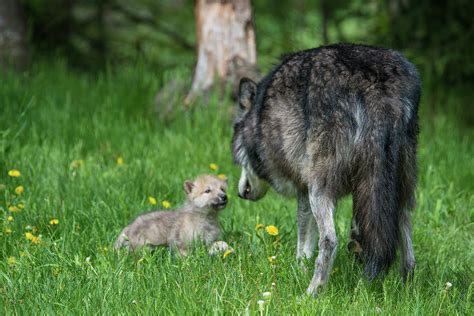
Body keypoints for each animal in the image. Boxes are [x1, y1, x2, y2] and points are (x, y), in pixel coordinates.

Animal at [231, 43, 420, 296]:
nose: (240, 193)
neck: (260, 118)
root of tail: (378, 88)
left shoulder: (303, 188)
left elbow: (304, 240)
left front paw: (299, 268)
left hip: (320, 189)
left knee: (330, 240)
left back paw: (311, 293)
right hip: (400, 187)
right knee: (406, 240)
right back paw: (407, 288)